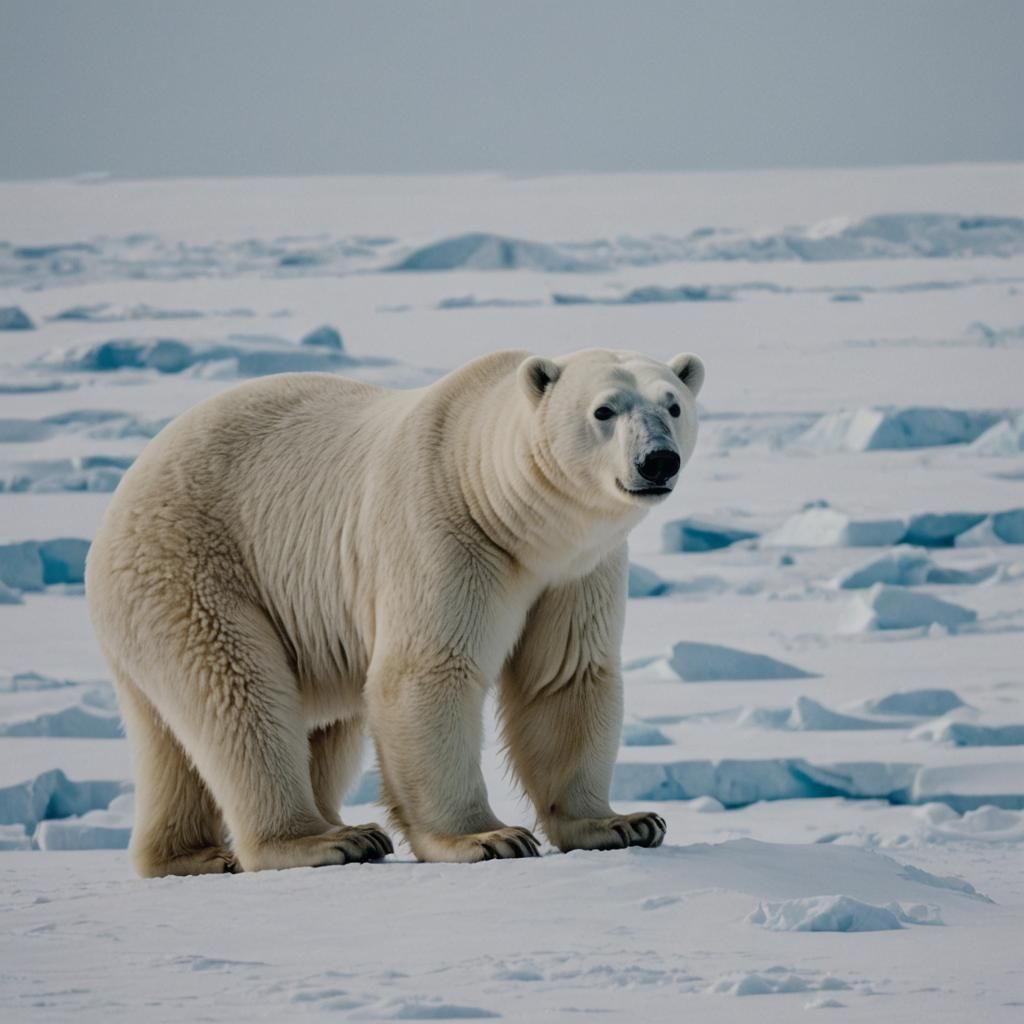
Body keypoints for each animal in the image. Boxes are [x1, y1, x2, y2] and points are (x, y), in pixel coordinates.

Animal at [85, 347, 704, 876]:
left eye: (673, 404)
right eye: (604, 409)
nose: (658, 460)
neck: (496, 499)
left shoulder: (577, 571)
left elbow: (565, 676)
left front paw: (624, 822)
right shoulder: (444, 533)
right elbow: (426, 672)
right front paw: (487, 837)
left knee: (235, 735)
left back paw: (191, 855)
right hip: (196, 570)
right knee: (241, 696)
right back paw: (325, 838)